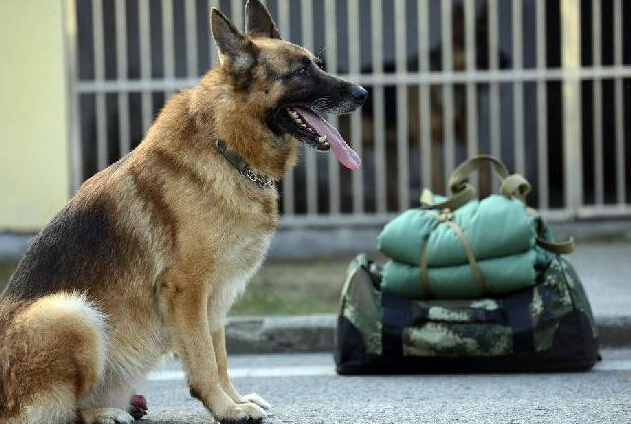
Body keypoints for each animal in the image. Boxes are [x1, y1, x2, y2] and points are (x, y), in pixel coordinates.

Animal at [0, 1, 366, 422]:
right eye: (301, 71)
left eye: (317, 64)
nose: (363, 93)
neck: (225, 148)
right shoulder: (188, 291)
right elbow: (204, 360)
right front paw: (226, 409)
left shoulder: (216, 298)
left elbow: (220, 358)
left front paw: (234, 400)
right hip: (71, 311)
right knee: (65, 409)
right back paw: (103, 412)